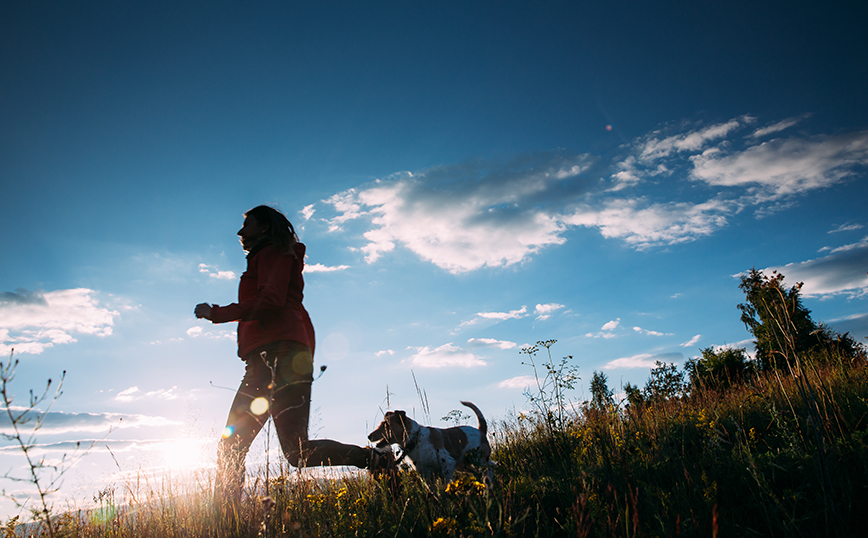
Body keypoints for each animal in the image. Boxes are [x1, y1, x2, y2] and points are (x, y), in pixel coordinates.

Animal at [362, 398, 492, 482]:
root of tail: (480, 430)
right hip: (465, 464)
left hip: (478, 459)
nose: (369, 436)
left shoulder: (447, 465)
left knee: (491, 467)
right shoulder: (426, 476)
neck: (415, 440)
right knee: (482, 471)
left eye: (386, 425)